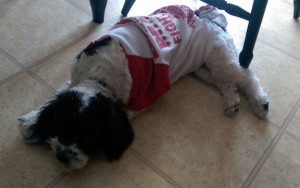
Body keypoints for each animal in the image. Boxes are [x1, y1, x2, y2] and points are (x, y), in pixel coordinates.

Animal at [17, 4, 268, 170]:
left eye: (88, 136)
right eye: (61, 125)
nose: (61, 156)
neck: (98, 77)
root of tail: (208, 19)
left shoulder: (140, 100)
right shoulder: (74, 82)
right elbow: (60, 92)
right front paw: (31, 119)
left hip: (219, 58)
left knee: (246, 76)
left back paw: (259, 103)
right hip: (202, 68)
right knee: (227, 82)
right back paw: (231, 101)